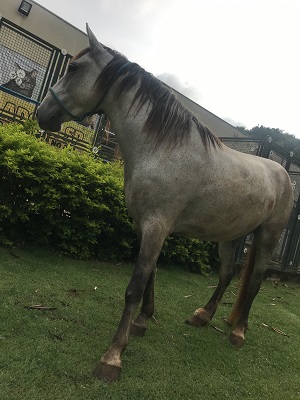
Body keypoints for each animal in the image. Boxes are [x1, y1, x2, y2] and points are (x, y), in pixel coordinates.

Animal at [37, 25, 292, 382]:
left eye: (73, 68)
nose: (42, 113)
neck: (162, 149)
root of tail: (281, 171)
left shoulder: (157, 226)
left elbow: (135, 285)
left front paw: (113, 357)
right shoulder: (143, 225)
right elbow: (151, 274)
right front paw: (142, 321)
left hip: (268, 236)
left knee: (253, 281)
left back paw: (238, 332)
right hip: (230, 236)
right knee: (227, 273)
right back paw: (203, 315)